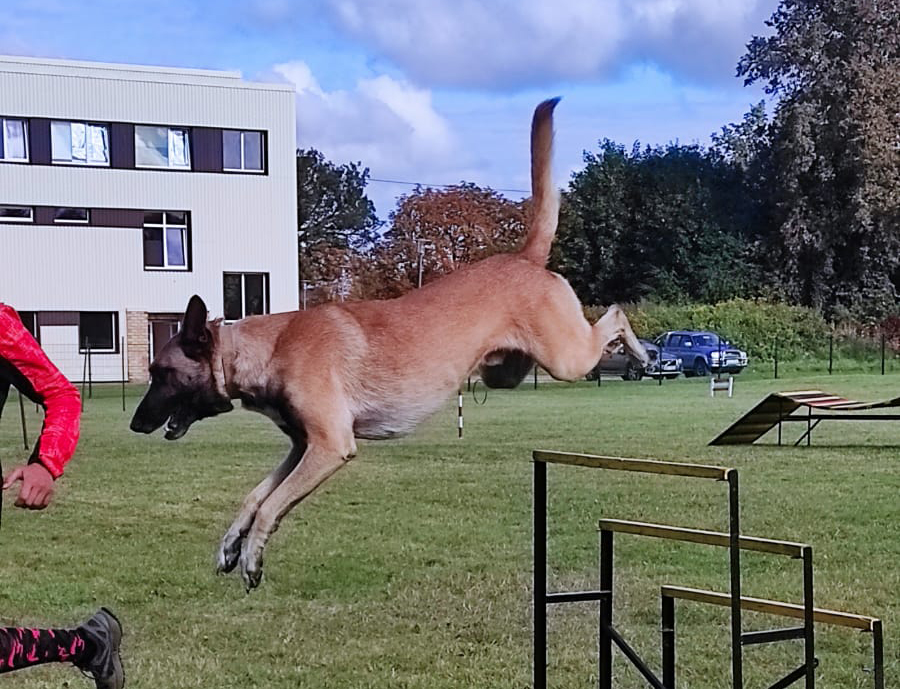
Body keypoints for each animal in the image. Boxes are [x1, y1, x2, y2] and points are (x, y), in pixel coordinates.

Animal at [130, 99, 649, 590]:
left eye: (161, 372)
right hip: (504, 370)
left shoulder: (329, 447)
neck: (269, 347)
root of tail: (524, 258)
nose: (135, 424)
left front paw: (251, 558)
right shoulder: (302, 447)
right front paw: (231, 544)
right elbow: (258, 496)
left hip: (565, 358)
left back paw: (642, 353)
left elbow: (270, 504)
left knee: (615, 314)